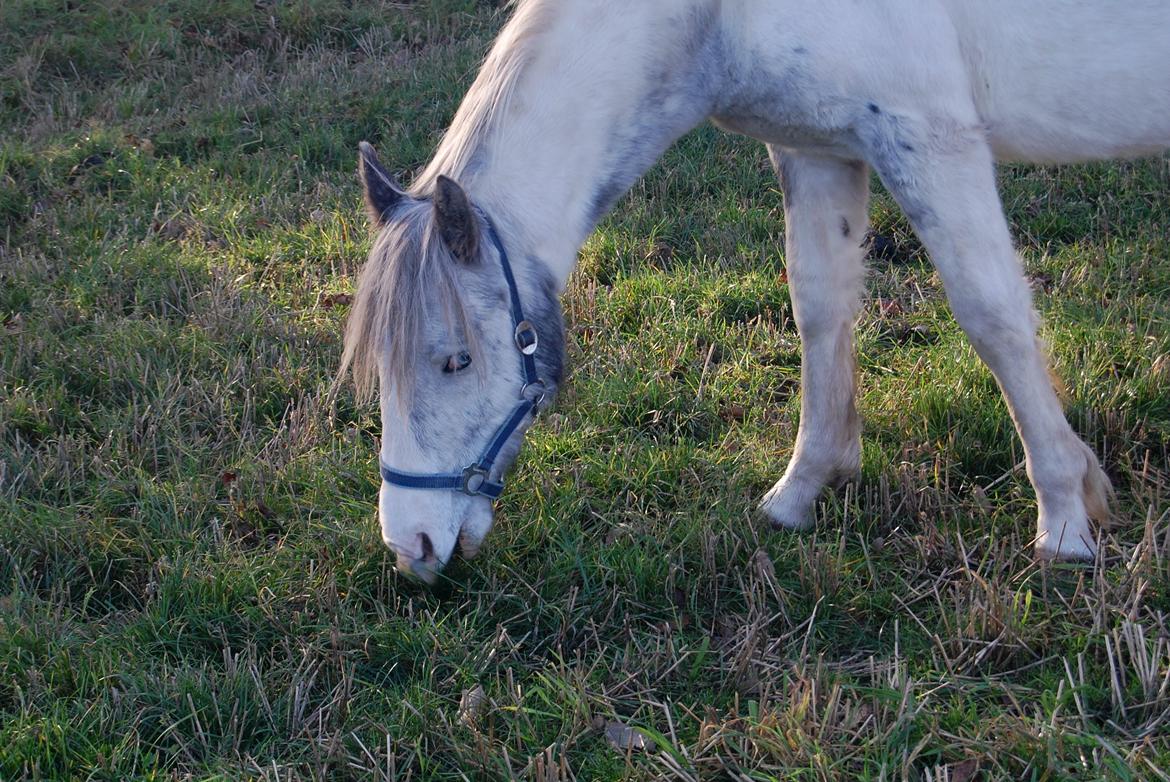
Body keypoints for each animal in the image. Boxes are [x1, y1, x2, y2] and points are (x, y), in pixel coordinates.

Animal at [341, 0, 1170, 580]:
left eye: (456, 361)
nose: (411, 544)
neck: (716, 18)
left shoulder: (931, 143)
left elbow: (991, 316)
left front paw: (1065, 518)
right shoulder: (819, 150)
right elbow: (820, 307)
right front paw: (804, 490)